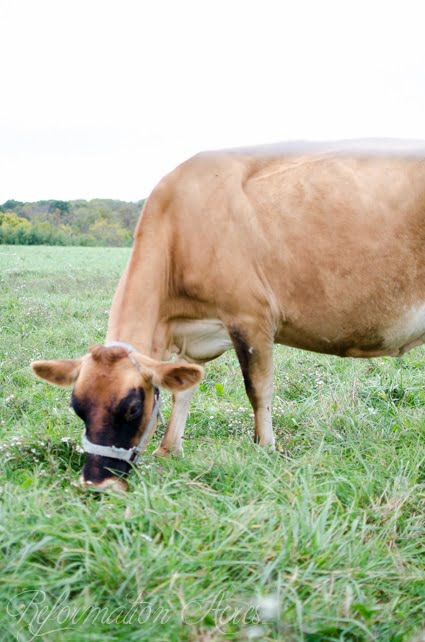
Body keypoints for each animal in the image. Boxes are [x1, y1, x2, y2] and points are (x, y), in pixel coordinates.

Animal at [32, 139, 425, 491]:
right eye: (77, 407)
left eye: (131, 408)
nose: (97, 483)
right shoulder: (192, 336)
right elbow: (184, 390)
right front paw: (169, 449)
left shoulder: (251, 317)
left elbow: (258, 390)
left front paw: (265, 448)